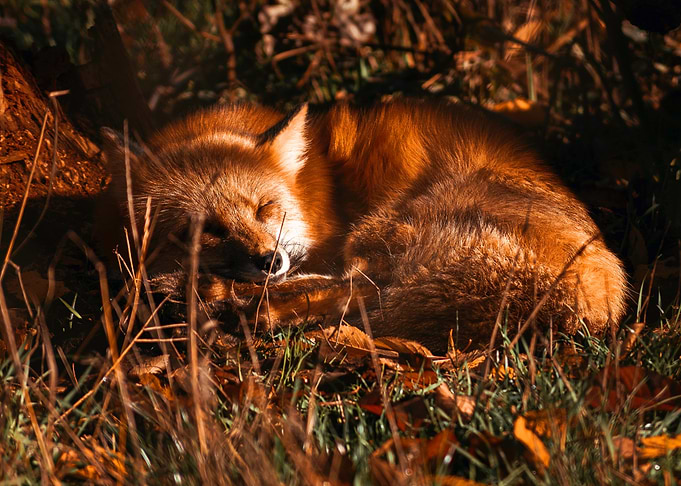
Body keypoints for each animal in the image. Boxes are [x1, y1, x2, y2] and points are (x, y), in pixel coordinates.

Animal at [101, 99, 627, 353]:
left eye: (266, 207)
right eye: (205, 229)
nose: (269, 260)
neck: (321, 181)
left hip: (390, 229)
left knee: (355, 291)